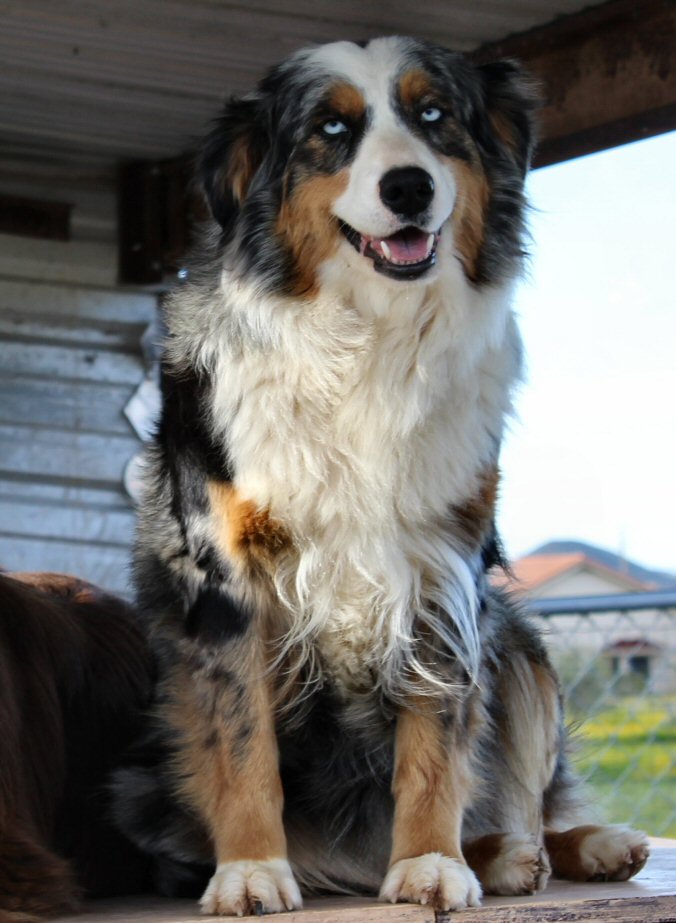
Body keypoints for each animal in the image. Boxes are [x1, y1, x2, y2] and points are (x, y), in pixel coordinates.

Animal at [116, 36, 648, 916]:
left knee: (530, 801)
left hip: (522, 645)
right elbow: (242, 740)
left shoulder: (442, 568)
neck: (366, 337)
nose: (409, 186)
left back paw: (546, 849)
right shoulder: (227, 583)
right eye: (331, 128)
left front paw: (431, 862)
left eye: (434, 114)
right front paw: (252, 869)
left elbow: (437, 742)